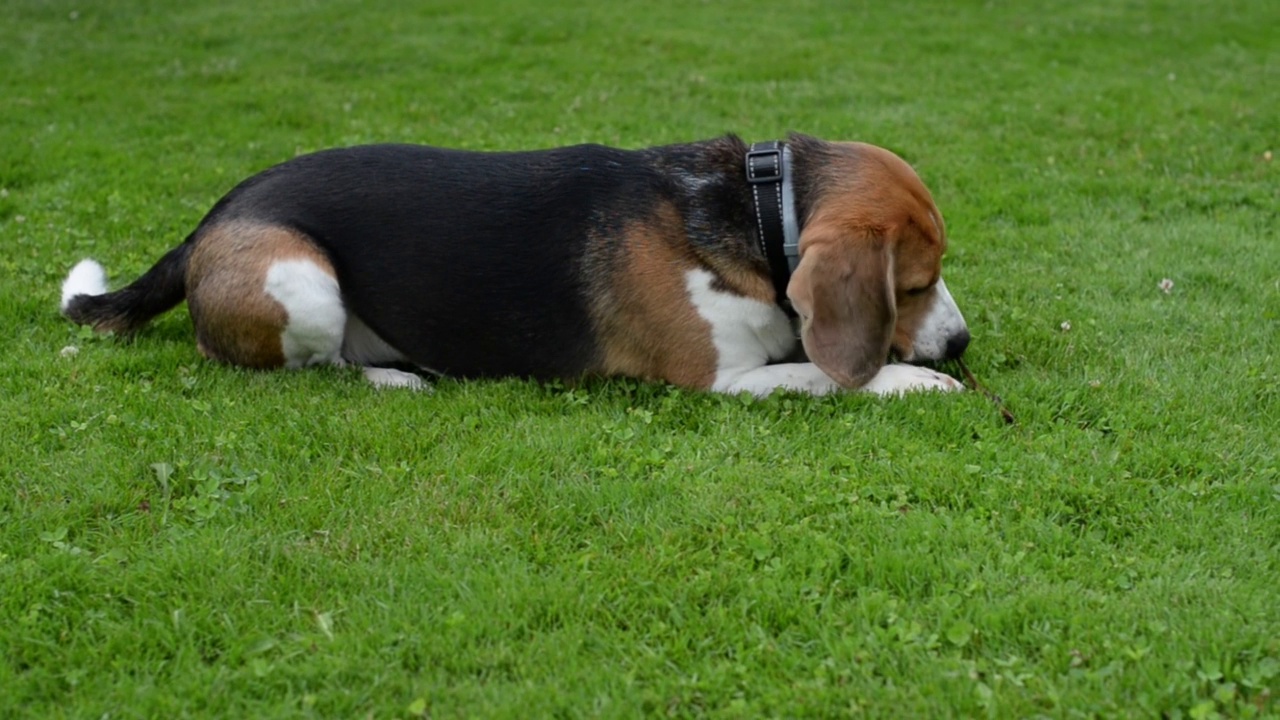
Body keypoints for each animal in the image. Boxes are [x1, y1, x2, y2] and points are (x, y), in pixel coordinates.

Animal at [55, 133, 962, 392]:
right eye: (912, 285)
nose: (961, 346)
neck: (754, 209)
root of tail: (210, 221)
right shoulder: (722, 382)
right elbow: (833, 378)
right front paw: (919, 381)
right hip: (300, 280)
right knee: (301, 367)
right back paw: (391, 378)